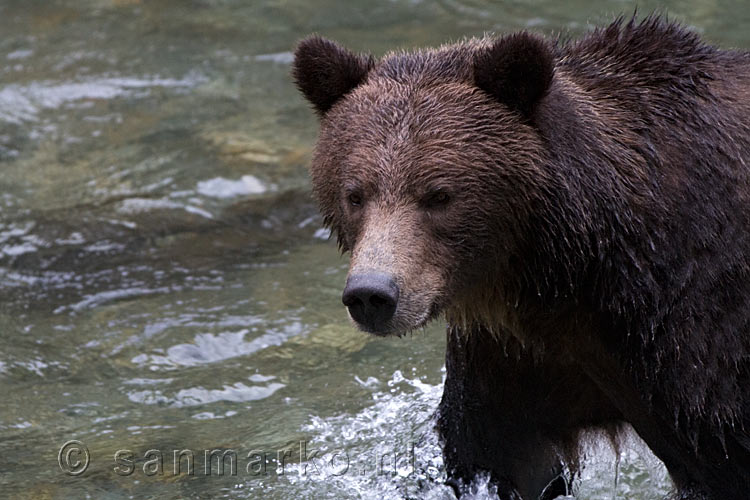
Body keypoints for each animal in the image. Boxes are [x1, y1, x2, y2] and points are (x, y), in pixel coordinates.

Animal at [292, 14, 750, 500]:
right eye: (355, 193)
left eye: (439, 195)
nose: (372, 294)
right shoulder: (515, 354)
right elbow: (499, 454)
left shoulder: (688, 331)